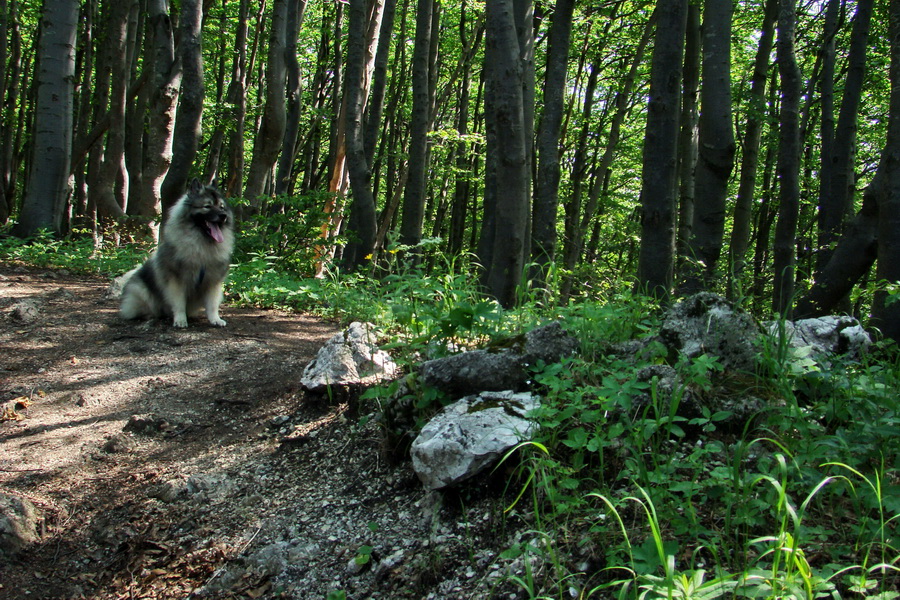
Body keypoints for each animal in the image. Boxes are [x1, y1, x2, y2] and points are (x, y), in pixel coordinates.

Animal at [119, 178, 236, 328]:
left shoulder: (212, 281)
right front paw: (180, 320)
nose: (223, 216)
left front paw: (215, 319)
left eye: (221, 207)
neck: (202, 244)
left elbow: (212, 304)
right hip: (140, 291)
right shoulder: (177, 280)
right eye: (207, 206)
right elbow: (179, 303)